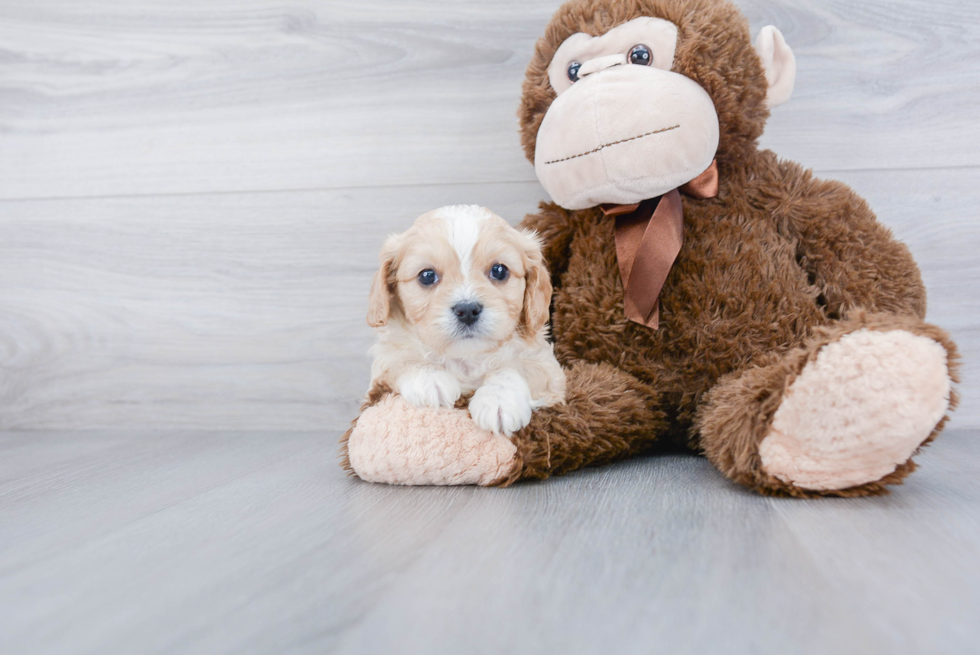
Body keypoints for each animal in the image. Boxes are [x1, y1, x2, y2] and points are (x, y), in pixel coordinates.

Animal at [368, 204, 568, 440]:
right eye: (427, 276)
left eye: (499, 270)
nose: (467, 310)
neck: (467, 357)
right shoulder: (380, 371)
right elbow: (401, 358)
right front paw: (430, 379)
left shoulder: (550, 371)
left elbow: (515, 367)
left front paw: (498, 400)